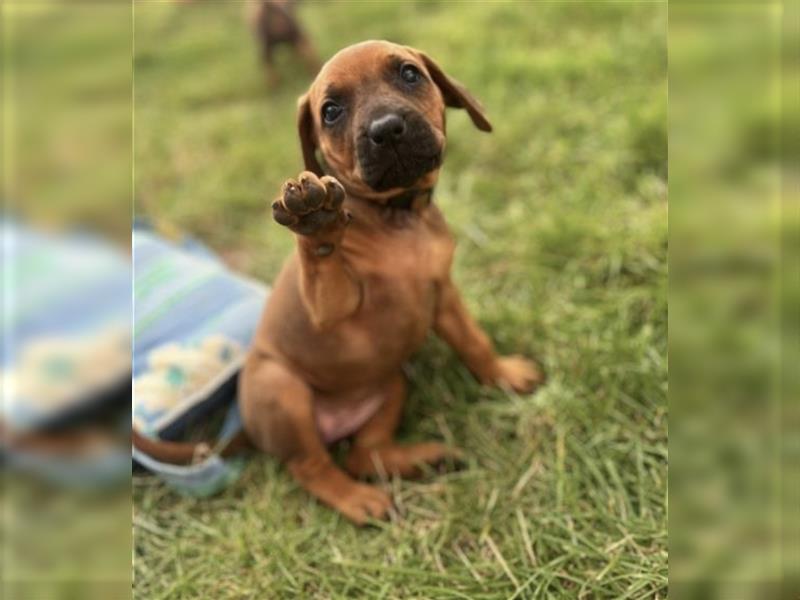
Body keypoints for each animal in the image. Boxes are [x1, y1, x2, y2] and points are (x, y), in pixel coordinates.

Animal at [239, 39, 544, 524]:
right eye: (331, 111)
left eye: (409, 74)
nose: (387, 129)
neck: (396, 218)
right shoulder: (329, 309)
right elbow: (321, 259)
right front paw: (316, 223)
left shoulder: (443, 293)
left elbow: (474, 342)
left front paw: (503, 376)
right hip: (281, 390)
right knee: (312, 466)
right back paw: (358, 500)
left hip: (391, 383)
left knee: (362, 455)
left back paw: (421, 459)